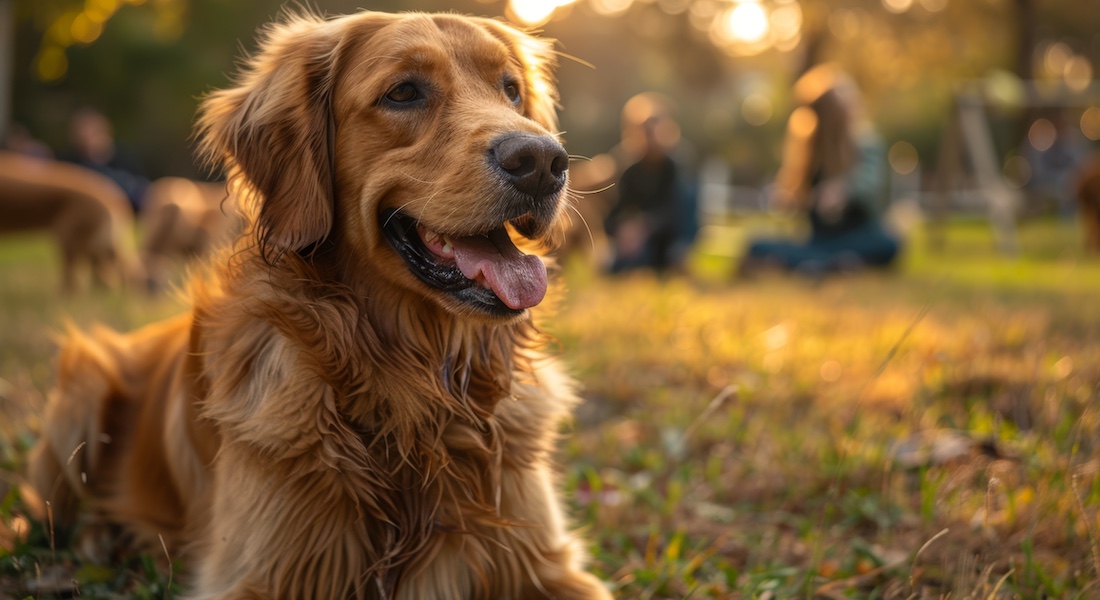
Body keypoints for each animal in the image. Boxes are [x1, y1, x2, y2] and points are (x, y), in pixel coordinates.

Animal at [27, 10, 611, 598]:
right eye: (404, 92)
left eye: (510, 90)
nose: (543, 161)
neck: (418, 391)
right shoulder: (262, 574)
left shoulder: (547, 565)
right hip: (83, 384)